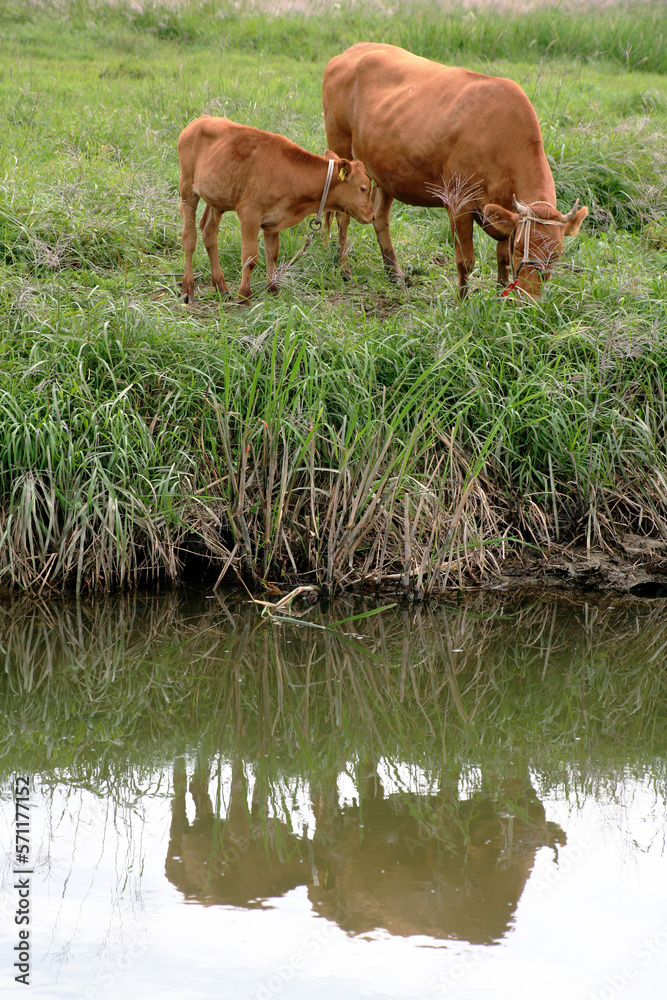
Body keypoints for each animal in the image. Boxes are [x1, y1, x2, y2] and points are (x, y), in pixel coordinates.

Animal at [177, 114, 376, 302]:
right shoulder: (249, 214)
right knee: (189, 237)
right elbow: (250, 257)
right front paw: (244, 298)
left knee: (209, 232)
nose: (372, 215)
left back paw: (222, 287)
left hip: (217, 198)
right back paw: (188, 289)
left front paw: (273, 291)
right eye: (363, 188)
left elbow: (272, 255)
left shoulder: (273, 222)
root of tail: (199, 120)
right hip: (187, 189)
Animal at [324, 43, 588, 298]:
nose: (529, 297)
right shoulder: (459, 202)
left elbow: (501, 257)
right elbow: (466, 261)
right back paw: (345, 269)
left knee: (380, 217)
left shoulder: (503, 211)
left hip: (384, 170)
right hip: (341, 150)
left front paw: (500, 294)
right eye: (520, 248)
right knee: (341, 215)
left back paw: (395, 274)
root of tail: (351, 51)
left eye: (556, 255)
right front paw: (462, 301)